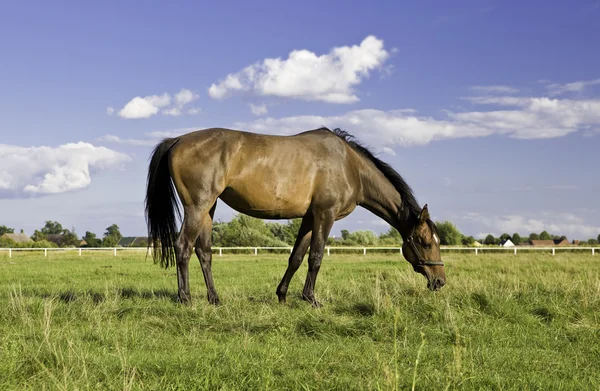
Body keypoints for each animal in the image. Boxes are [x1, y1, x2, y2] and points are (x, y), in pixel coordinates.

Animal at [145, 127, 446, 308]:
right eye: (425, 242)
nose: (440, 281)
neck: (349, 166)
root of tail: (177, 140)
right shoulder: (325, 214)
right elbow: (316, 258)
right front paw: (311, 299)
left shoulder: (310, 217)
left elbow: (297, 257)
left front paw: (282, 295)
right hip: (197, 206)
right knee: (183, 247)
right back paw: (185, 298)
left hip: (209, 209)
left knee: (204, 252)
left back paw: (214, 299)